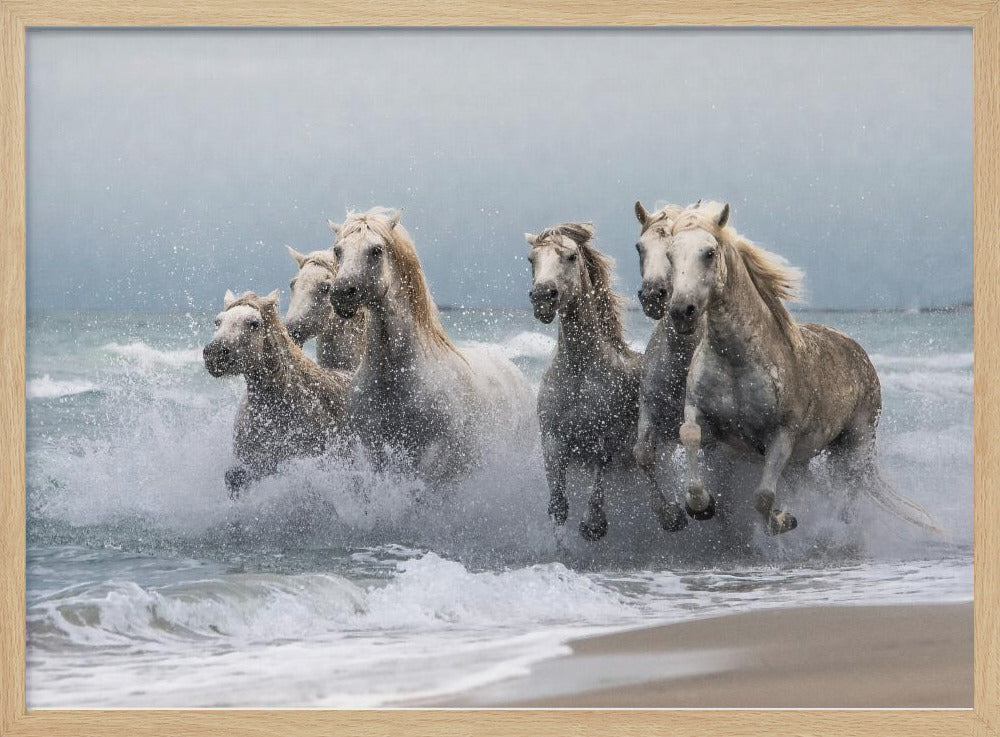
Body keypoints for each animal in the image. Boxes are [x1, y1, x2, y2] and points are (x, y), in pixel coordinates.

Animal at [327, 207, 535, 484]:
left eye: (376, 250)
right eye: (338, 250)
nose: (341, 294)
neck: (395, 377)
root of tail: (514, 371)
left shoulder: (434, 454)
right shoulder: (374, 451)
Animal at [526, 222, 645, 540]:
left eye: (570, 256)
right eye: (531, 260)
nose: (542, 297)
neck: (579, 371)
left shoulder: (605, 438)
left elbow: (600, 473)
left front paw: (593, 524)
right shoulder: (552, 438)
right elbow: (558, 505)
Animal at [660, 201, 938, 535]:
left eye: (709, 253)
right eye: (670, 255)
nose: (682, 312)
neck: (736, 361)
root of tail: (859, 353)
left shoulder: (782, 436)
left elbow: (763, 497)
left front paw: (784, 520)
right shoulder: (699, 411)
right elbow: (689, 434)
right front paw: (700, 505)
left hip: (854, 447)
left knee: (849, 491)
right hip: (806, 460)